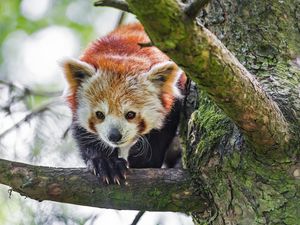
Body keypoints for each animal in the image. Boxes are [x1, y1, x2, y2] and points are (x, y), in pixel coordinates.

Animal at [62, 23, 186, 185]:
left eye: (130, 114)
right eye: (99, 114)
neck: (123, 51)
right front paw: (105, 162)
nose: (114, 136)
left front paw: (144, 162)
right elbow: (84, 134)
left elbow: (162, 131)